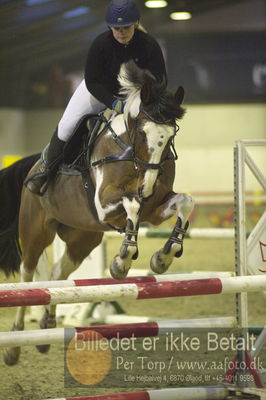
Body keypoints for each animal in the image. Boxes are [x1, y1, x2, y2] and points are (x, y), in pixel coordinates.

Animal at [1, 61, 194, 364]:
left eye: (170, 135)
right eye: (142, 131)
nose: (147, 186)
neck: (128, 152)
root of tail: (34, 164)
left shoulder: (155, 208)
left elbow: (185, 202)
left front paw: (164, 256)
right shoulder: (105, 205)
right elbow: (133, 205)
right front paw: (123, 260)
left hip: (82, 240)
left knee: (57, 274)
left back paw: (46, 328)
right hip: (35, 232)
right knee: (27, 276)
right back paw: (14, 343)